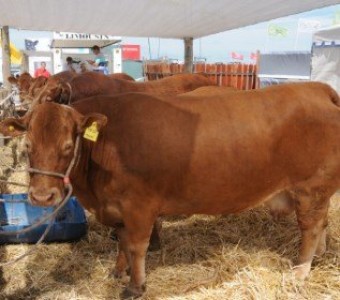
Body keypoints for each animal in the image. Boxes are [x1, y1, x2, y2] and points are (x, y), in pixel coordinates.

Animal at [1, 82, 338, 298]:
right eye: (28, 146)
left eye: (68, 146)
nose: (42, 197)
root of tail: (316, 89)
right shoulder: (117, 209)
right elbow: (122, 243)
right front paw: (118, 272)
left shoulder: (139, 207)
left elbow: (136, 246)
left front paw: (135, 286)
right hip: (317, 192)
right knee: (322, 223)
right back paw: (318, 256)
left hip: (311, 188)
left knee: (310, 226)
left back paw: (300, 270)